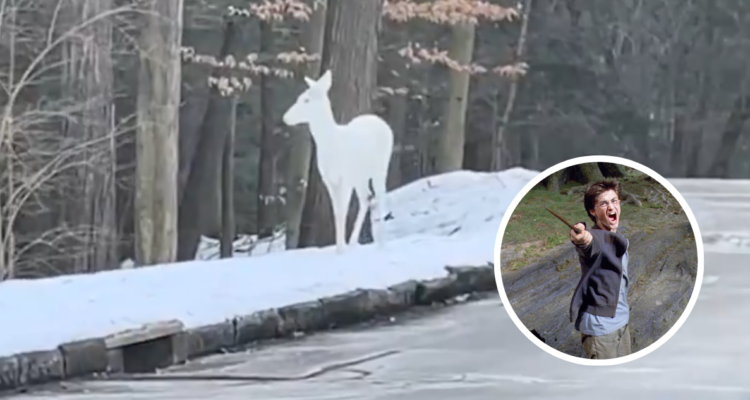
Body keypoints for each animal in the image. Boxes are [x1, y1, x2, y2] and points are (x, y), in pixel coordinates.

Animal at [282, 70, 394, 254]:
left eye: (306, 99)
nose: (286, 118)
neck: (331, 142)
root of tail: (382, 123)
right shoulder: (329, 180)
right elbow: (336, 212)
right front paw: (339, 247)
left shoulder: (345, 178)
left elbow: (342, 211)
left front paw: (341, 250)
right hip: (360, 176)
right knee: (366, 198)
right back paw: (354, 242)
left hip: (381, 167)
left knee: (380, 195)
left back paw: (382, 243)